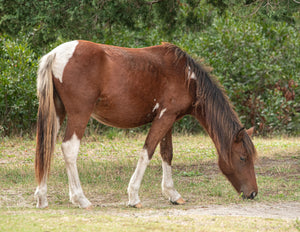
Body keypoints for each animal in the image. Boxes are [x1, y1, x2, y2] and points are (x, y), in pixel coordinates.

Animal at [34, 40, 258, 209]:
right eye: (243, 157)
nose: (253, 193)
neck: (186, 77)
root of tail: (55, 54)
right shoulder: (164, 118)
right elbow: (147, 152)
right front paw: (133, 196)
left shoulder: (168, 119)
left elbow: (166, 153)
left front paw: (173, 194)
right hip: (79, 115)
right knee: (69, 149)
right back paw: (81, 199)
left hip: (58, 114)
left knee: (47, 147)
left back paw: (42, 197)